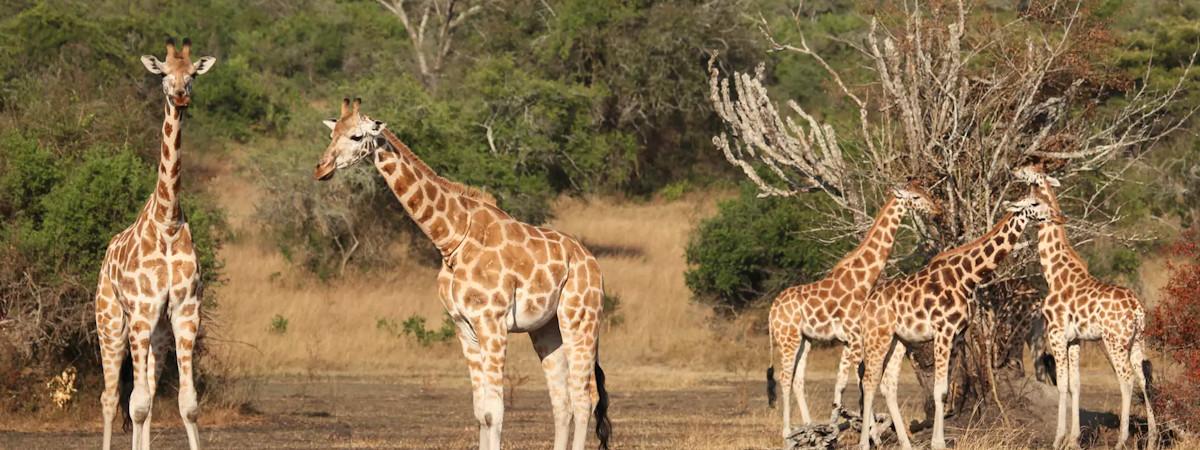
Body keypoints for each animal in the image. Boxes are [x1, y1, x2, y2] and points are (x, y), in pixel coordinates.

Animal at [94, 37, 217, 450]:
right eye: (163, 73)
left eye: (193, 73)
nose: (180, 95)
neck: (167, 220)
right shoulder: (142, 312)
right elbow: (137, 404)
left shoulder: (185, 312)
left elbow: (187, 404)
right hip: (111, 323)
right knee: (111, 397)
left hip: (157, 334)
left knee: (141, 390)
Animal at [312, 98, 609, 450]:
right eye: (332, 134)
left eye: (356, 136)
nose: (321, 168)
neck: (450, 239)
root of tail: (593, 263)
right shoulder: (463, 326)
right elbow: (481, 411)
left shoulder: (492, 323)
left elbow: (495, 411)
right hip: (546, 329)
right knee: (562, 401)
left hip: (580, 319)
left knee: (584, 397)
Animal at [763, 181, 940, 436]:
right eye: (915, 197)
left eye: (925, 192)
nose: (936, 211)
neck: (863, 280)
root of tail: (772, 311)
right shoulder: (855, 337)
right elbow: (857, 380)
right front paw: (865, 429)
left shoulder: (850, 340)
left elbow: (846, 383)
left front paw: (840, 427)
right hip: (788, 338)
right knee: (785, 377)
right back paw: (788, 432)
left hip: (804, 340)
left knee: (797, 380)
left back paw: (809, 427)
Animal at [854, 193, 1060, 450]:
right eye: (1034, 203)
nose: (1056, 215)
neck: (967, 276)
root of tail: (866, 305)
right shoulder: (943, 331)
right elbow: (939, 388)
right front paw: (938, 443)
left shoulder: (957, 334)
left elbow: (946, 390)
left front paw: (938, 441)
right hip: (877, 336)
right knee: (868, 382)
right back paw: (865, 443)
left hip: (898, 340)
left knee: (887, 384)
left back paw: (906, 443)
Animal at [1012, 164, 1152, 450]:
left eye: (1029, 173)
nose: (1014, 171)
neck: (1054, 273)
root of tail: (1137, 310)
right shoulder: (1075, 339)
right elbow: (1076, 384)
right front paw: (1074, 438)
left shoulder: (1056, 334)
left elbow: (1062, 384)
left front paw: (1058, 439)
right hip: (1137, 340)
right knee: (1142, 378)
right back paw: (1153, 437)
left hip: (1114, 341)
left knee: (1126, 378)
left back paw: (1122, 440)